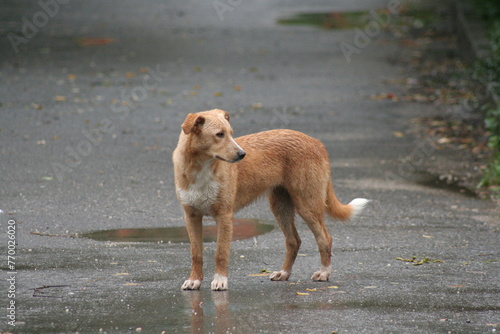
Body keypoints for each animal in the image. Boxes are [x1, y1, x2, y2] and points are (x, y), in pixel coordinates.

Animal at [174, 109, 370, 290]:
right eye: (219, 134)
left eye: (230, 132)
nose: (242, 154)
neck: (201, 167)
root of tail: (317, 142)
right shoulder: (191, 217)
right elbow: (196, 254)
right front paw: (194, 280)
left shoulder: (224, 216)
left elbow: (220, 253)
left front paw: (220, 281)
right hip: (280, 206)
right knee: (293, 241)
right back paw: (284, 273)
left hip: (307, 205)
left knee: (325, 238)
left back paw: (324, 273)